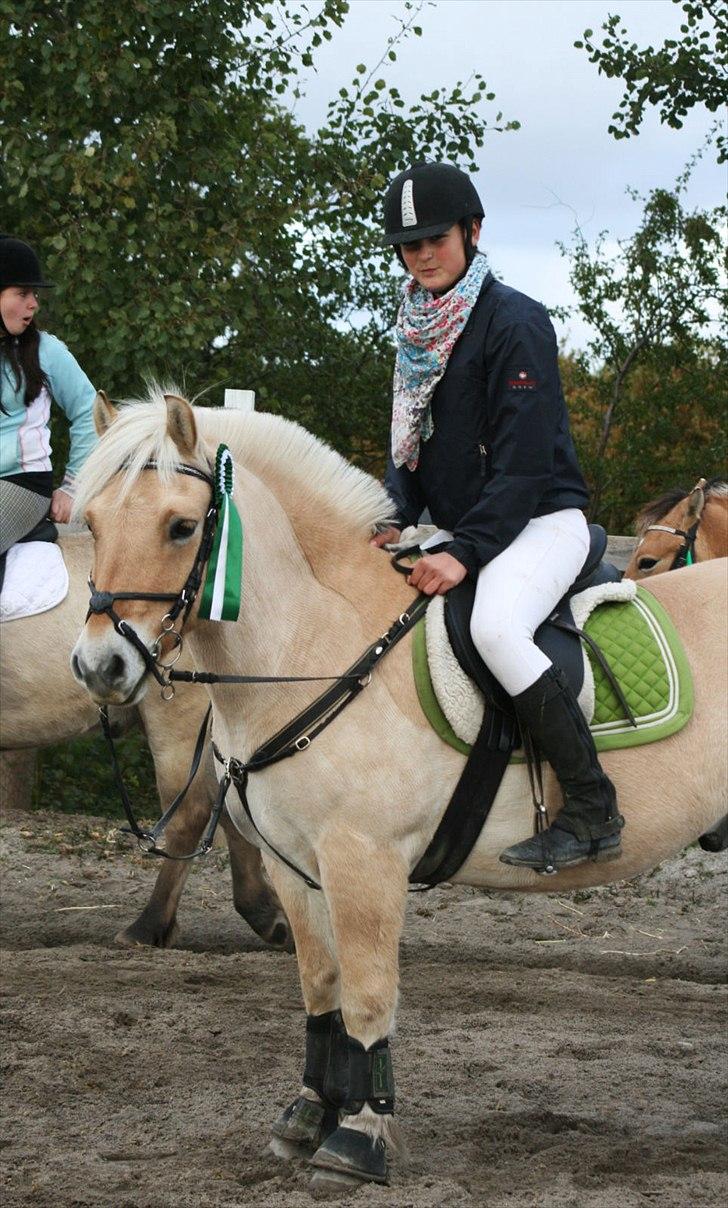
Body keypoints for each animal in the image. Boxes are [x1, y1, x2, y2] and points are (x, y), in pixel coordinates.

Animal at [71, 393, 728, 1188]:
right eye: (92, 523)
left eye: (181, 526)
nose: (100, 667)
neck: (313, 639)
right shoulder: (295, 865)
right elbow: (322, 986)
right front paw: (309, 1115)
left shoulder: (365, 860)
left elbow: (367, 996)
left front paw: (361, 1137)